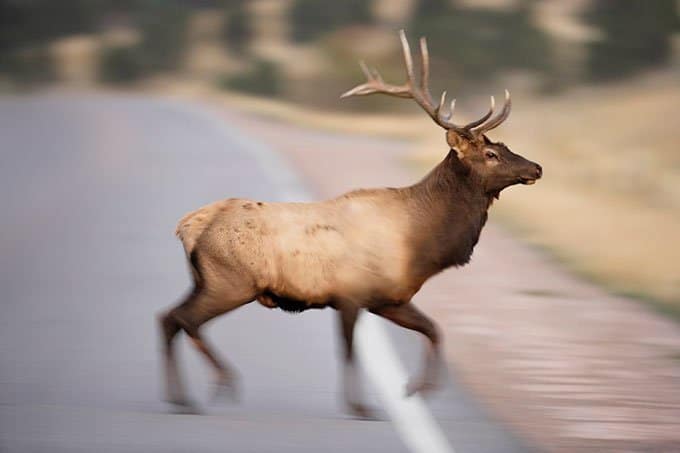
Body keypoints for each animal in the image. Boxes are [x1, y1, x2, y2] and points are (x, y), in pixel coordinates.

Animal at [158, 30, 540, 414]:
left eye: (505, 146)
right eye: (491, 154)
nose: (536, 167)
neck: (421, 245)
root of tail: (188, 227)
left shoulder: (389, 298)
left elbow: (433, 330)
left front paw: (416, 387)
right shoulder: (351, 294)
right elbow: (348, 350)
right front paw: (361, 405)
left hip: (204, 281)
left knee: (167, 318)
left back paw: (180, 395)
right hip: (231, 282)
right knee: (185, 320)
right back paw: (219, 384)